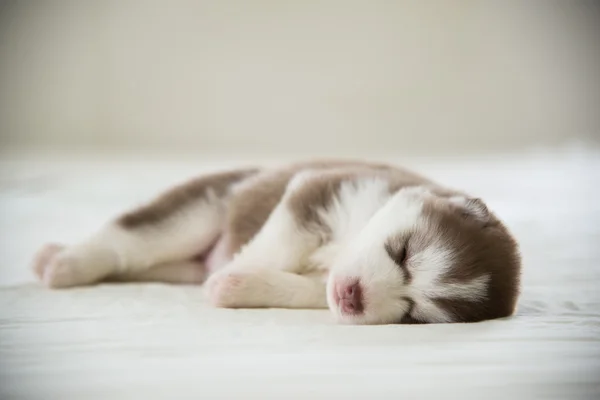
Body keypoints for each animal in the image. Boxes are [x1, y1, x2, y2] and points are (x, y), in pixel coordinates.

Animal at [31, 159, 520, 324]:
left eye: (411, 313)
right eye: (404, 254)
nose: (353, 297)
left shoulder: (323, 286)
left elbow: (297, 288)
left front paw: (237, 286)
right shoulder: (318, 192)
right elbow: (277, 246)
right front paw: (235, 272)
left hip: (181, 263)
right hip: (201, 208)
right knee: (127, 240)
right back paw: (62, 262)